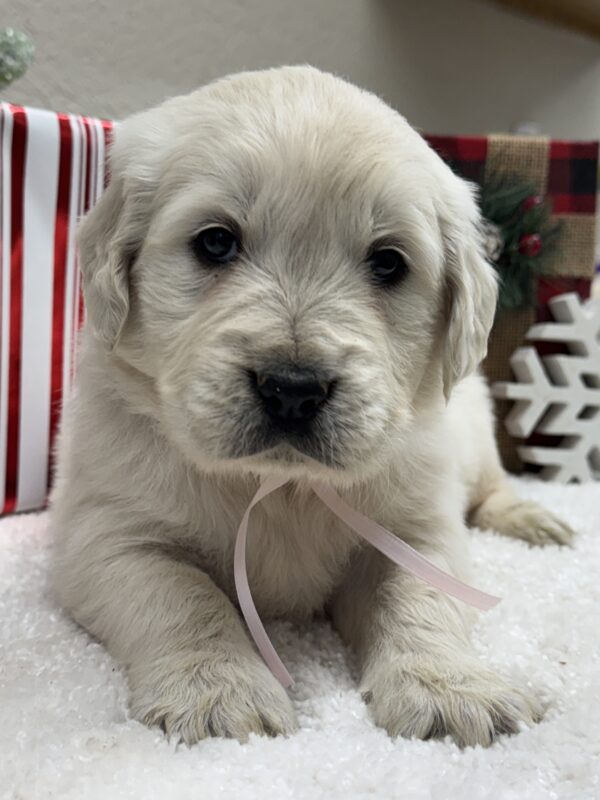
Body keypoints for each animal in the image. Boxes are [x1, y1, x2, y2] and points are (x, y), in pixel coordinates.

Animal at [49, 65, 576, 748]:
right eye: (215, 243)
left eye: (388, 262)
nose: (292, 388)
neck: (279, 485)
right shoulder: (107, 533)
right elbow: (183, 595)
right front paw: (219, 691)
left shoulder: (417, 530)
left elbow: (420, 599)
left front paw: (449, 690)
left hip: (477, 435)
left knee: (494, 489)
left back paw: (534, 520)